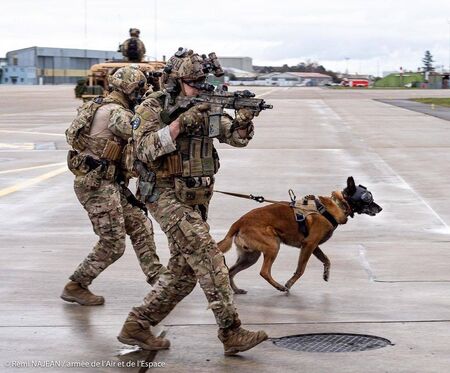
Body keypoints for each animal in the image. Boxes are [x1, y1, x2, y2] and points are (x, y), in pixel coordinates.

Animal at [220, 177, 382, 294]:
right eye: (367, 198)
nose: (380, 208)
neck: (337, 205)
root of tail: (238, 222)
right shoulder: (309, 244)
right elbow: (301, 269)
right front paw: (290, 283)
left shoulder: (314, 246)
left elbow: (327, 260)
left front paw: (326, 273)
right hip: (273, 246)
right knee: (264, 272)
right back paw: (279, 286)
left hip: (250, 256)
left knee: (230, 271)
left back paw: (235, 290)